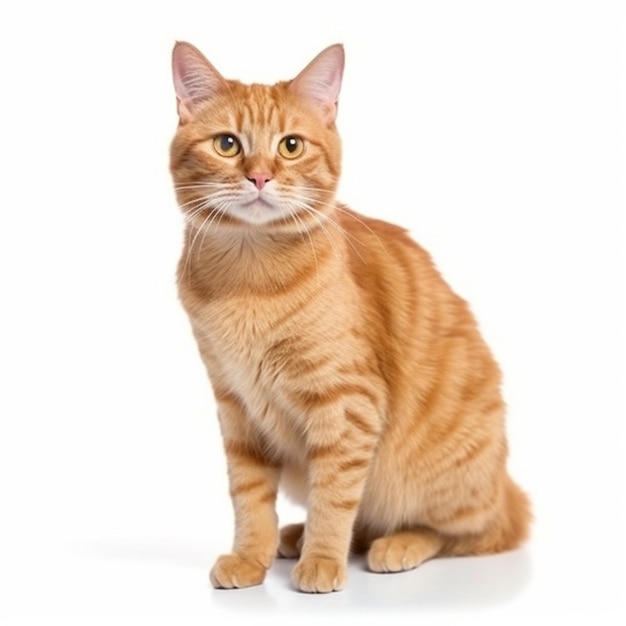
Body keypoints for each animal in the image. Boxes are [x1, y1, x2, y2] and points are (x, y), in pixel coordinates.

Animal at [169, 40, 528, 588]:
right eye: (227, 144)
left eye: (291, 146)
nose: (259, 176)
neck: (249, 281)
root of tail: (507, 486)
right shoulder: (236, 404)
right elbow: (249, 495)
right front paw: (251, 556)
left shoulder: (347, 404)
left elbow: (335, 496)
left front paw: (322, 560)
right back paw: (292, 538)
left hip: (437, 476)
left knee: (470, 532)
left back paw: (396, 544)